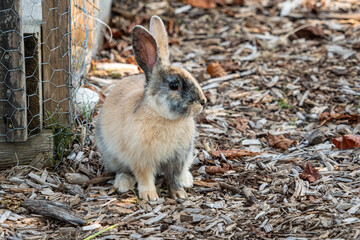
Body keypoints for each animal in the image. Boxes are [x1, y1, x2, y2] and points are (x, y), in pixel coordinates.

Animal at [94, 15, 207, 201]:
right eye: (174, 85)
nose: (203, 102)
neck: (161, 115)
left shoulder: (178, 158)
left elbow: (174, 177)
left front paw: (179, 193)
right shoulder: (141, 160)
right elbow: (145, 177)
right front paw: (150, 196)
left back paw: (187, 180)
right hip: (111, 155)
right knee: (122, 170)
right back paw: (124, 183)